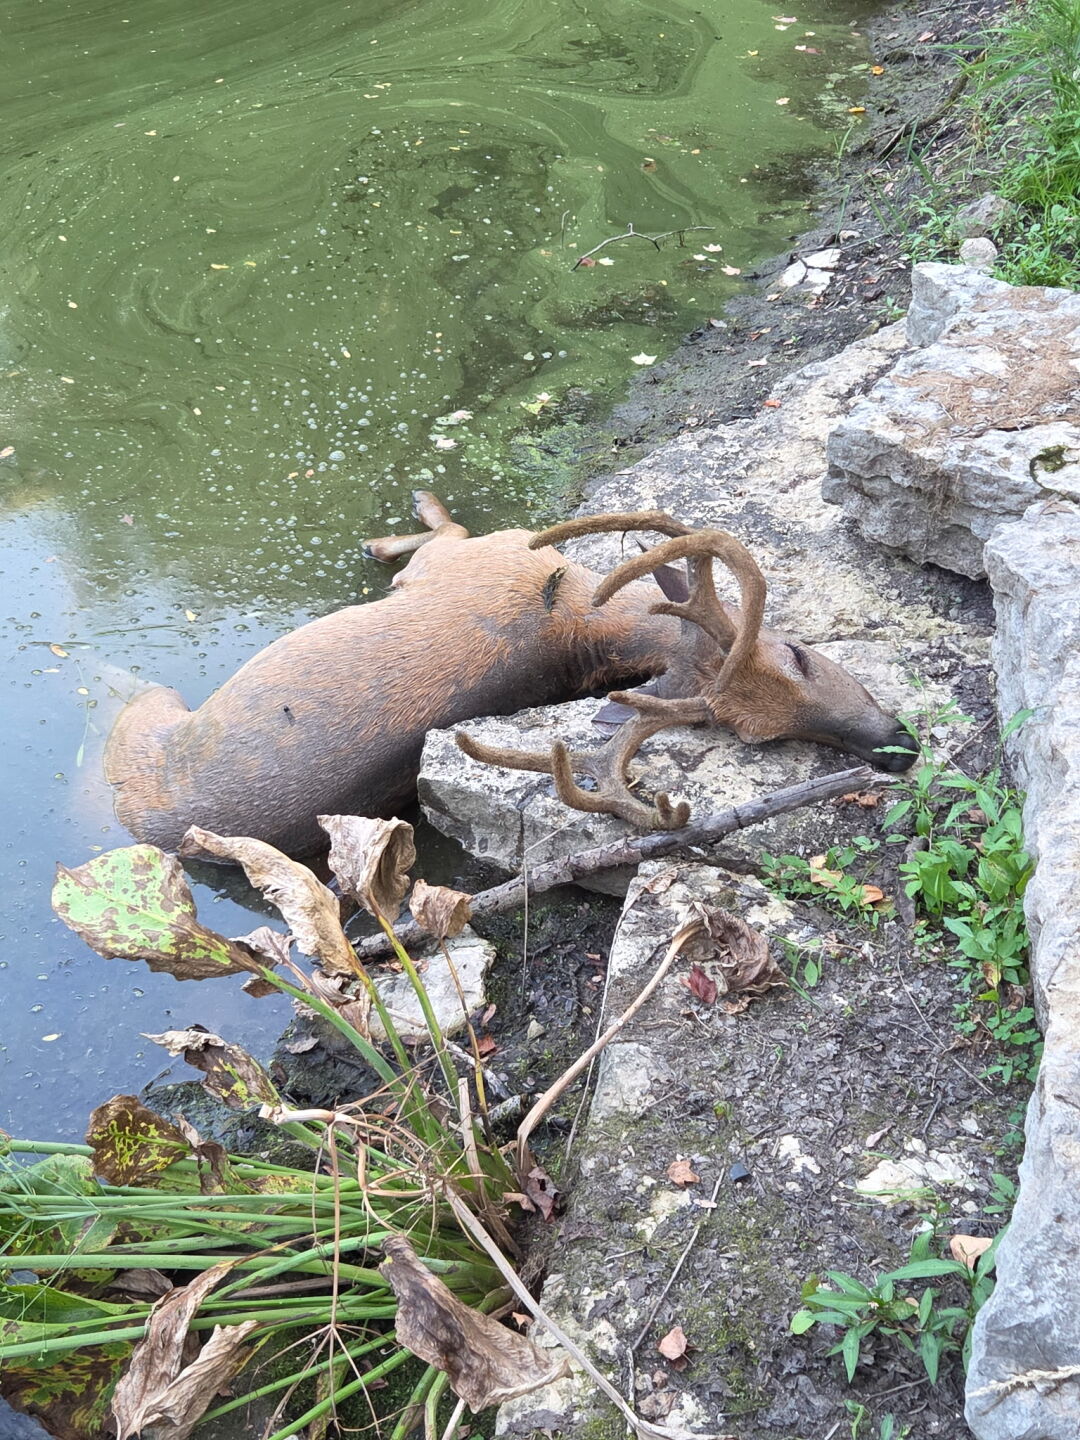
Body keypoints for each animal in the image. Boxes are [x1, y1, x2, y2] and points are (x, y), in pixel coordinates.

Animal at [104, 491, 916, 856]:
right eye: (798, 652)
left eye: (759, 739)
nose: (898, 746)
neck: (576, 610)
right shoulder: (479, 557)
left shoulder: (468, 556)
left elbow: (444, 528)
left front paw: (399, 521)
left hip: (147, 717)